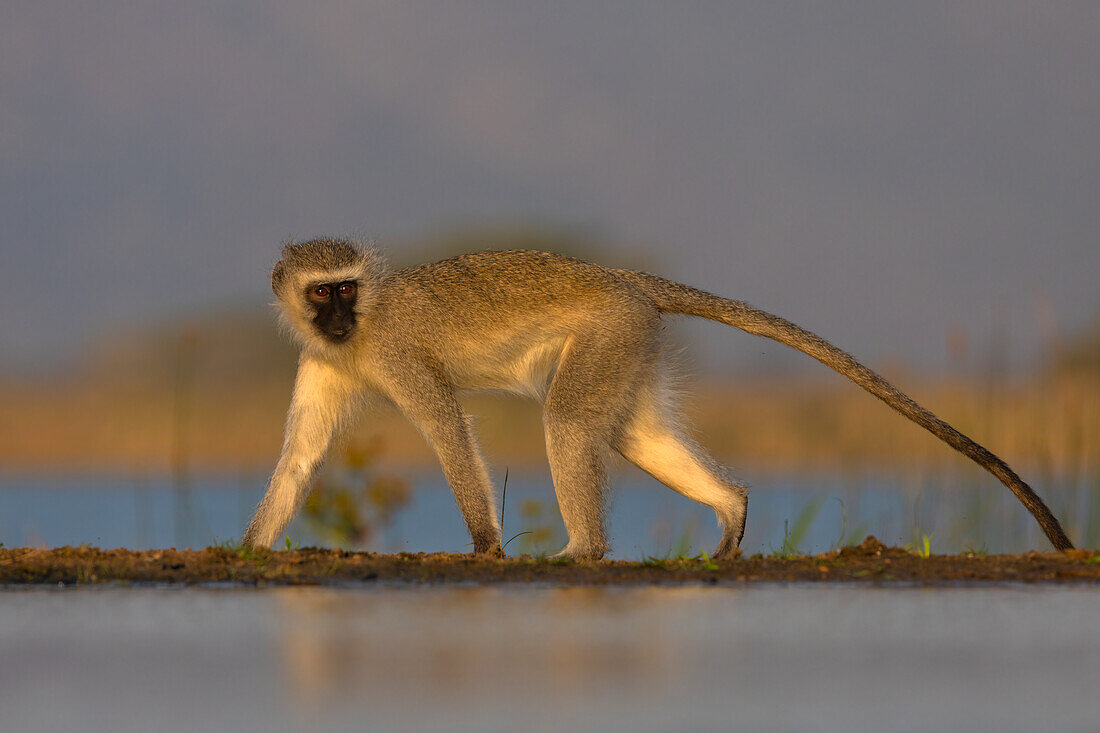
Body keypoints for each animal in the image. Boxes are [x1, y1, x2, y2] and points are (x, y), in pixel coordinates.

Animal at [243, 238, 1073, 554]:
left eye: (348, 288)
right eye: (323, 293)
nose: (340, 317)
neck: (359, 334)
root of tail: (622, 276)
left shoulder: (396, 353)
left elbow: (447, 427)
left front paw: (483, 546)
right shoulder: (321, 362)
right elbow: (300, 455)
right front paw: (252, 543)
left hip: (610, 329)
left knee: (569, 420)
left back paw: (584, 550)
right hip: (629, 341)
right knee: (627, 433)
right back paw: (731, 510)